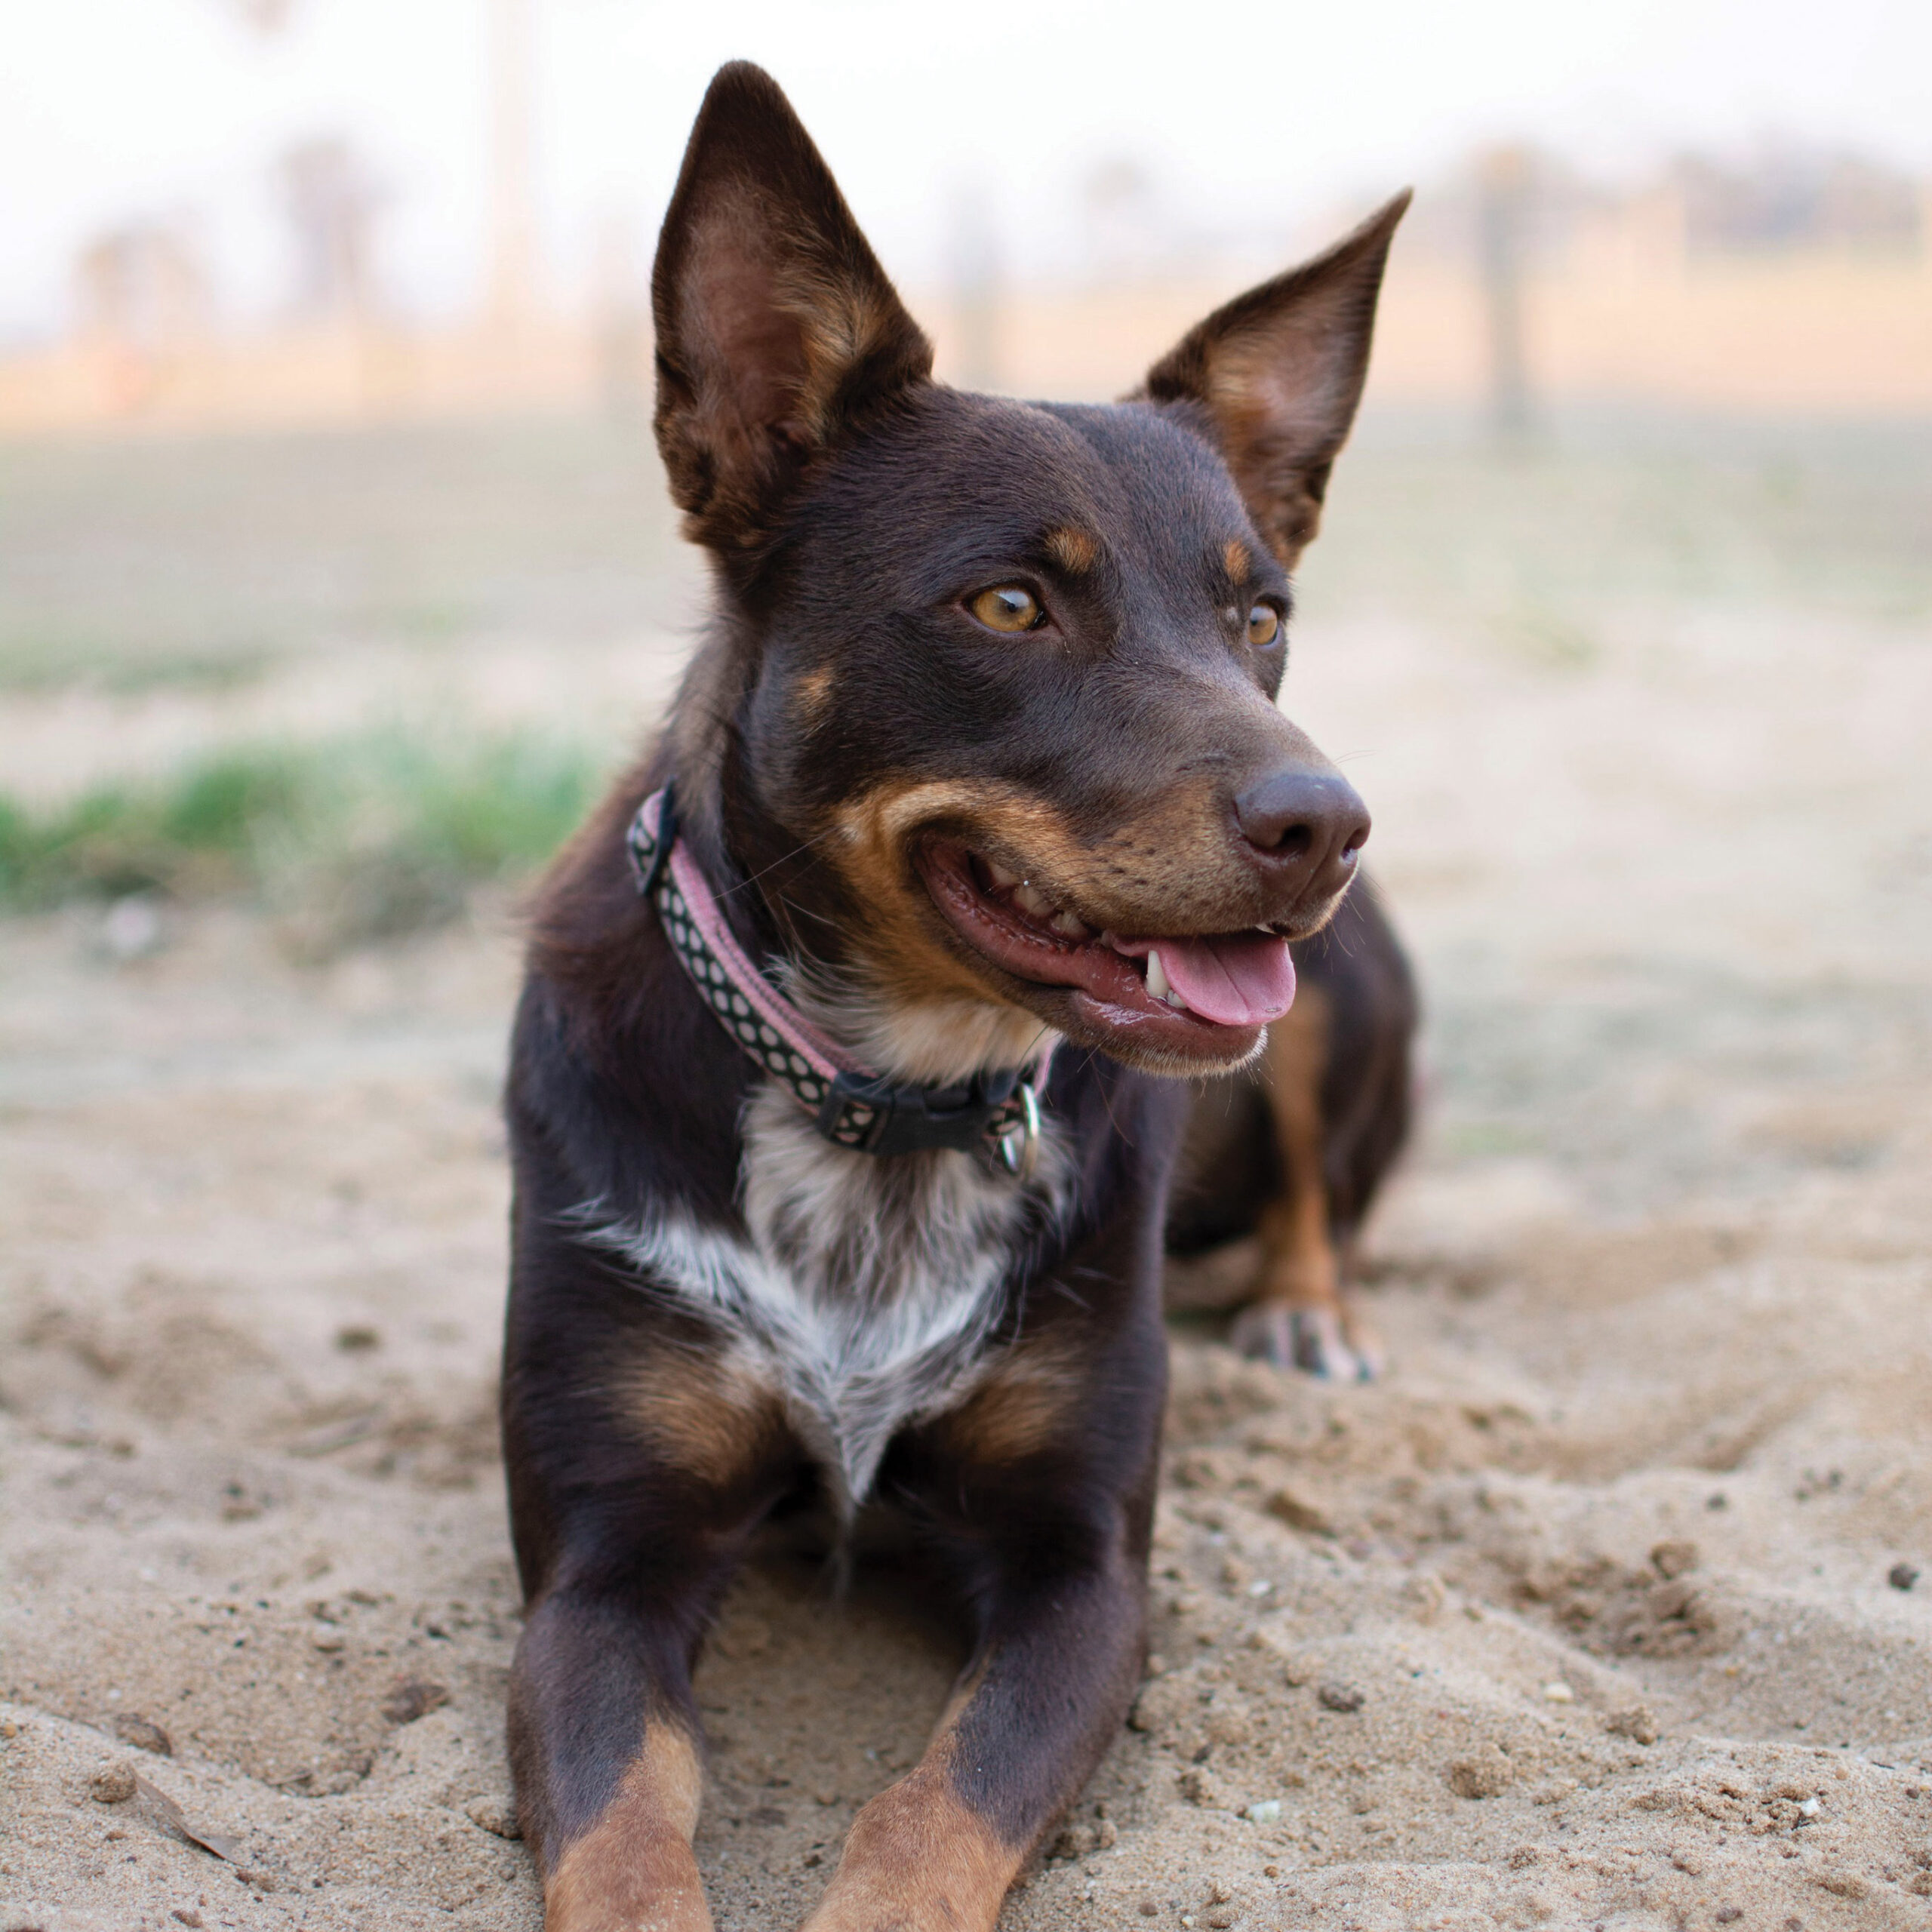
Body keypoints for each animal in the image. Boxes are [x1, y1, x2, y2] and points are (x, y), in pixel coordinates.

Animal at [506, 64, 1414, 1932]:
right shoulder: (601, 1559)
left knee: (1314, 1189)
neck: (886, 1090)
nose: (1328, 821)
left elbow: (928, 1812)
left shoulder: (1082, 1566)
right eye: (1008, 600)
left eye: (1260, 613)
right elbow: (624, 1829)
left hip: (1328, 1005)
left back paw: (1307, 1309)